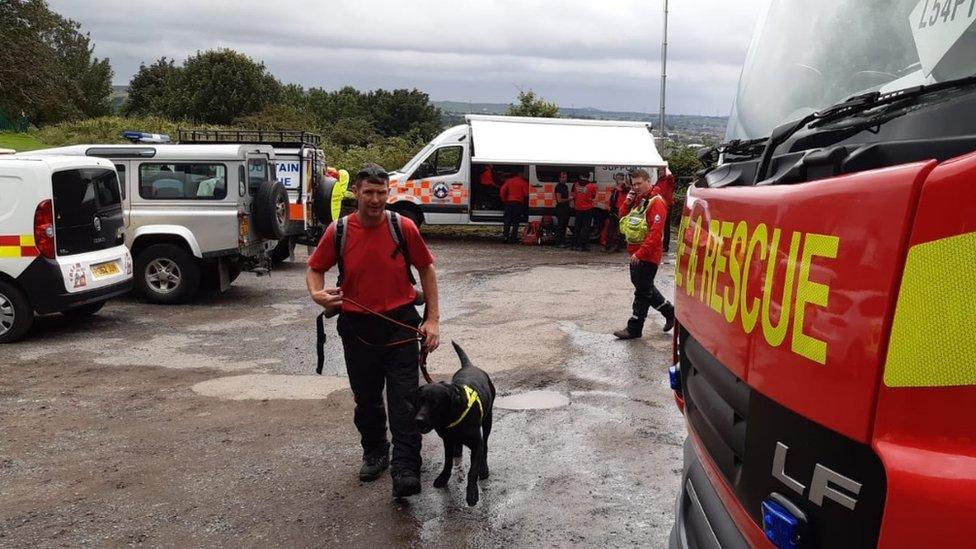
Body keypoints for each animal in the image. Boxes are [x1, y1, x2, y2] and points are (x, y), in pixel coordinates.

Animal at [416, 342, 500, 506]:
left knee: (486, 444)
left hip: (488, 419)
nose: (418, 419)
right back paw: (458, 450)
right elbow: (447, 461)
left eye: (435, 403)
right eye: (420, 401)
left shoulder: (477, 444)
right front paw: (443, 477)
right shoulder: (447, 440)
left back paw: (483, 468)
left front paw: (472, 493)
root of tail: (470, 365)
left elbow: (472, 471)